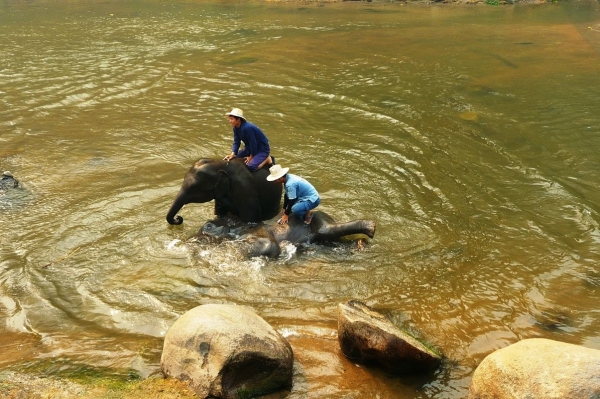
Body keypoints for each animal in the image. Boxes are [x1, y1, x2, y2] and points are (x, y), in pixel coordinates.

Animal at [198, 211, 376, 258]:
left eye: (208, 226)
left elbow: (270, 245)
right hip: (323, 240)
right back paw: (360, 245)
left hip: (320, 222)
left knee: (332, 228)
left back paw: (371, 228)